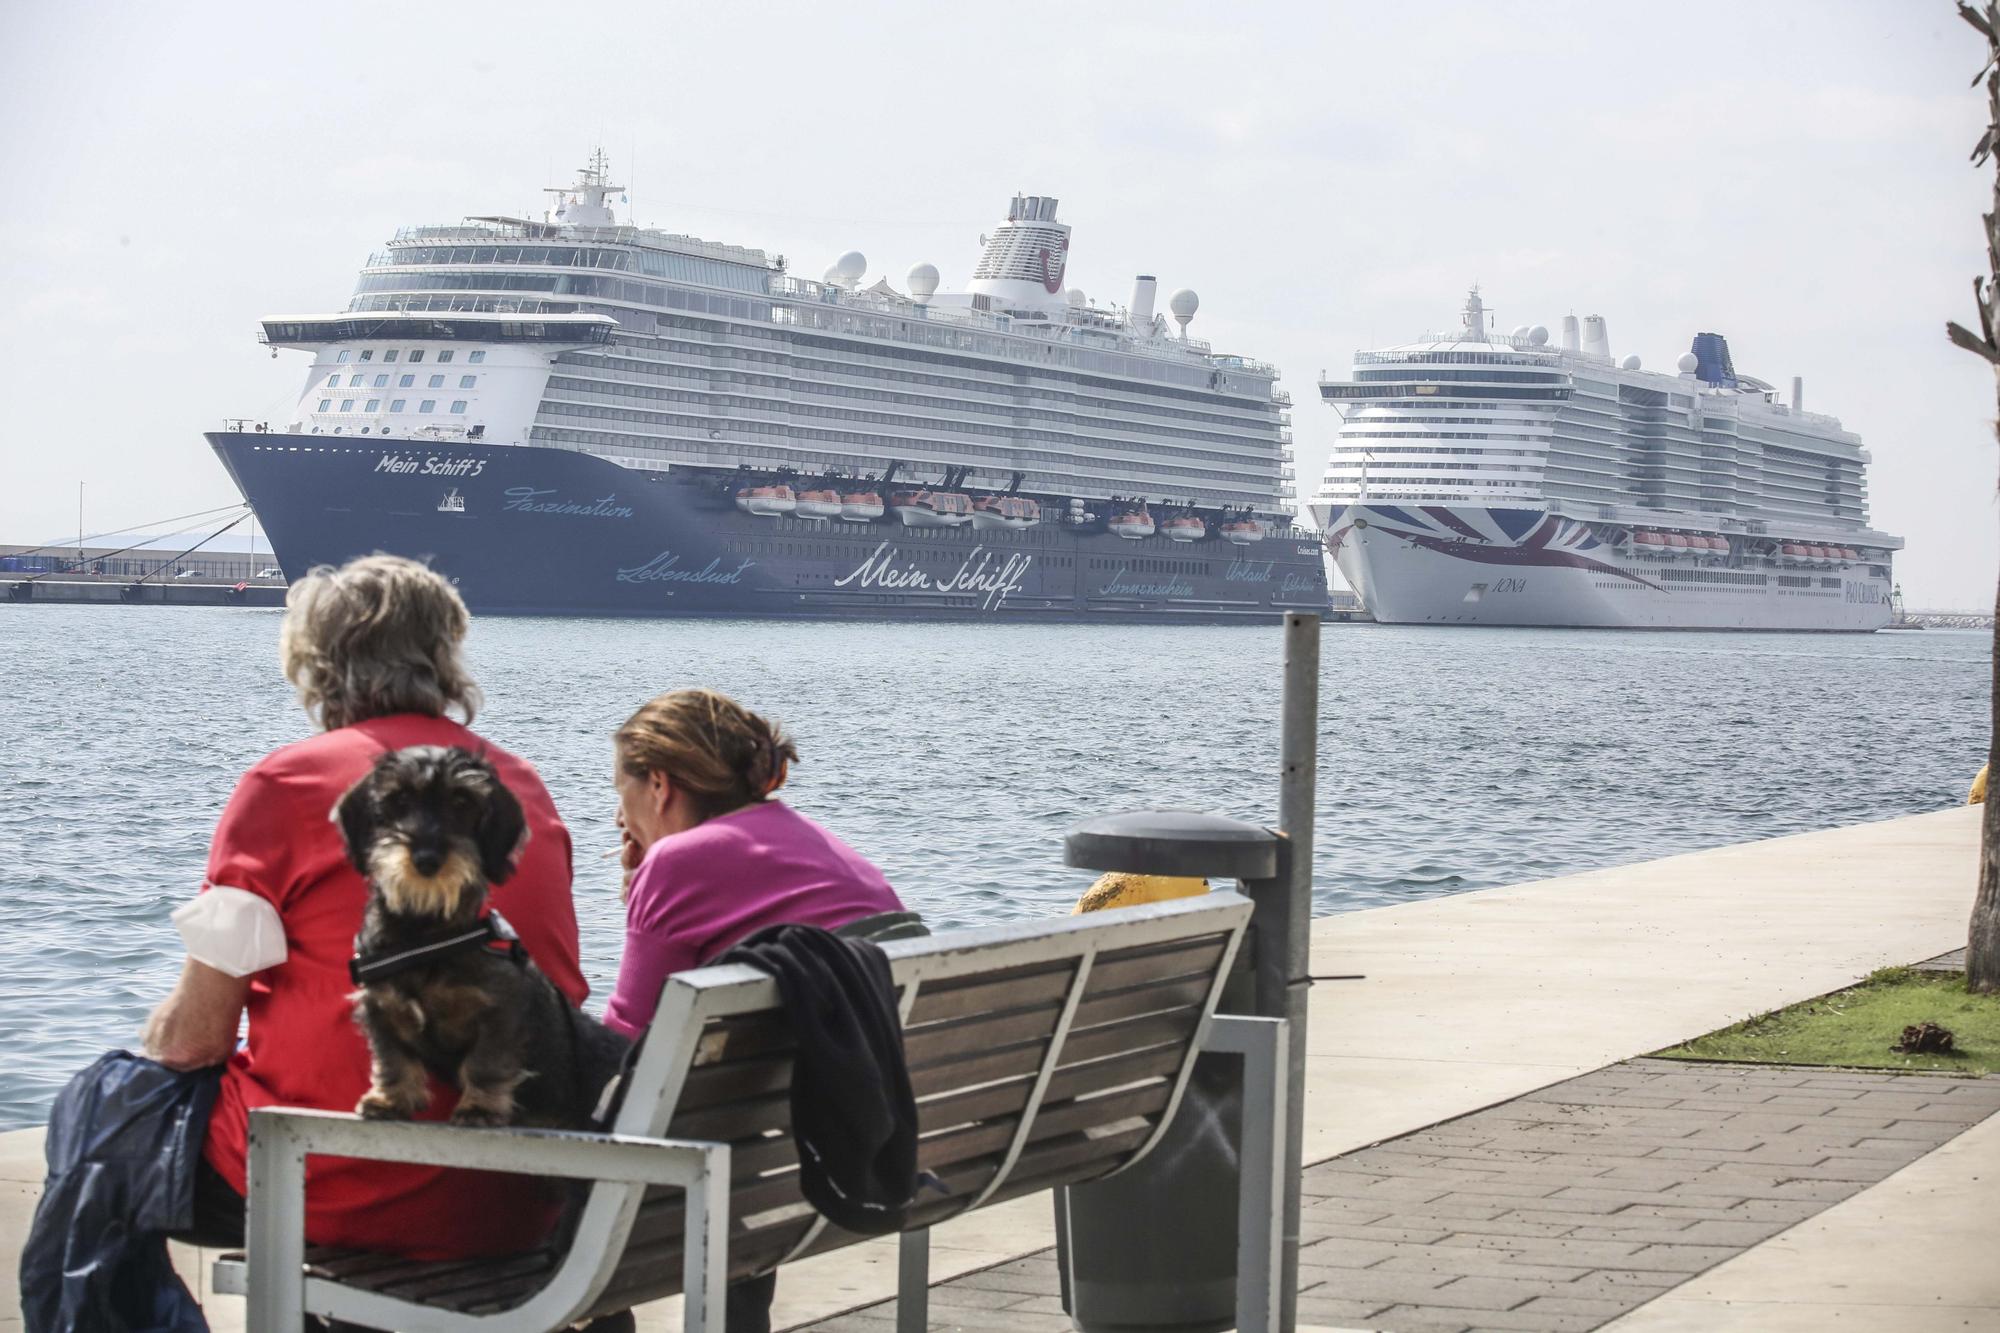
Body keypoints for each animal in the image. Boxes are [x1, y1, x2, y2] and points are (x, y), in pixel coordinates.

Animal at [336, 740, 628, 1128]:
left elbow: (485, 1063)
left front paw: (479, 1107)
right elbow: (393, 1059)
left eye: (462, 801)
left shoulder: (500, 1010)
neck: (424, 937)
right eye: (399, 799)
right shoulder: (381, 1007)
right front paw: (389, 1099)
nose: (426, 859)